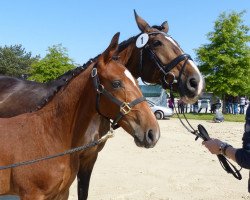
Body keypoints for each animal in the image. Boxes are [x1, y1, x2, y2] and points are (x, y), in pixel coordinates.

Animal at [0, 32, 160, 198]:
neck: (49, 135)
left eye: (136, 80)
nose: (152, 133)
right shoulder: (32, 194)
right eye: (116, 83)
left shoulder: (62, 192)